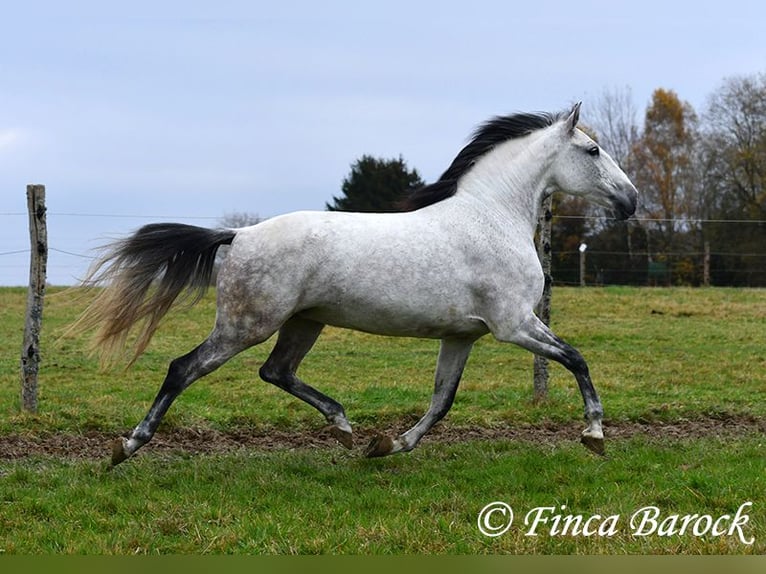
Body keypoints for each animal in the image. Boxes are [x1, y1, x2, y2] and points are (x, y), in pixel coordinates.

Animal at [76, 101, 640, 466]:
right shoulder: (514, 325)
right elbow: (576, 359)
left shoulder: (462, 335)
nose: (631, 201)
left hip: (302, 323)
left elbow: (442, 401)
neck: (491, 217)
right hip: (246, 324)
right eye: (592, 150)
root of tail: (237, 235)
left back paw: (346, 428)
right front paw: (594, 434)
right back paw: (126, 448)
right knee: (183, 369)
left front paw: (388, 445)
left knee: (275, 371)